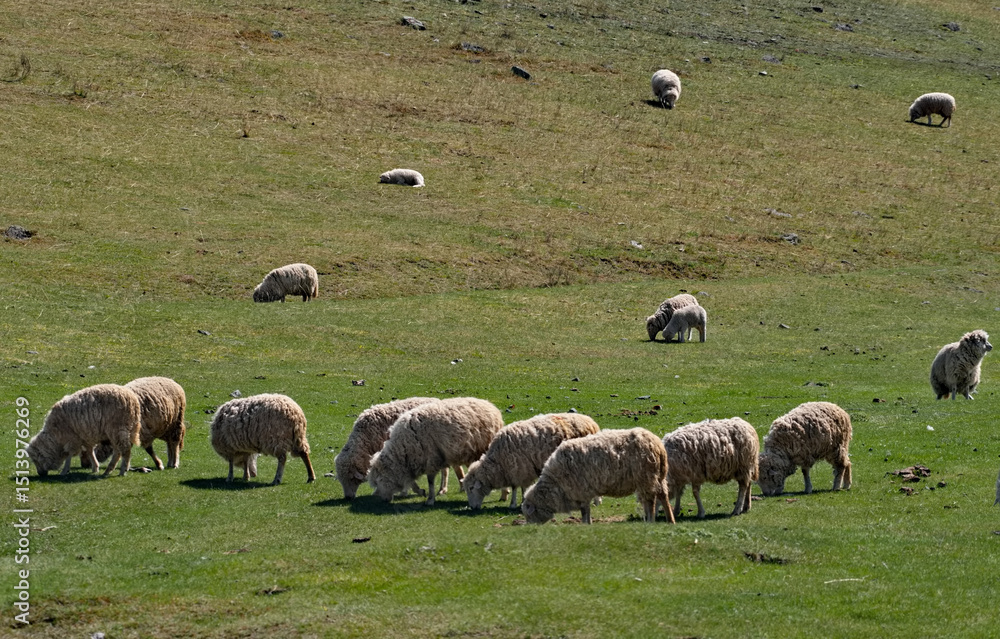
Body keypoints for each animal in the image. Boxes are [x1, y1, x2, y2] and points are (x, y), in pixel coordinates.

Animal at [367, 397, 503, 506]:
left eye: (379, 480)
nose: (383, 500)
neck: (404, 450)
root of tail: (491, 406)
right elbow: (412, 481)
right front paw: (421, 492)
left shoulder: (431, 460)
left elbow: (430, 481)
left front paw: (430, 499)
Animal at [464, 412, 601, 511]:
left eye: (471, 488)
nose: (472, 508)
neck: (498, 462)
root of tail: (592, 423)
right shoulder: (515, 470)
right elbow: (516, 487)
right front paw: (516, 503)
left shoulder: (520, 469)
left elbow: (519, 487)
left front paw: (517, 503)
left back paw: (597, 501)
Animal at [521, 428, 674, 525]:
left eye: (529, 514)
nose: (531, 527)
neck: (555, 484)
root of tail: (658, 446)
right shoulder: (585, 492)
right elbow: (586, 510)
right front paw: (588, 524)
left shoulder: (581, 491)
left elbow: (584, 511)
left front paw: (585, 524)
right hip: (658, 477)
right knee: (663, 496)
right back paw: (669, 520)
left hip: (646, 478)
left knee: (651, 501)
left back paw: (651, 521)